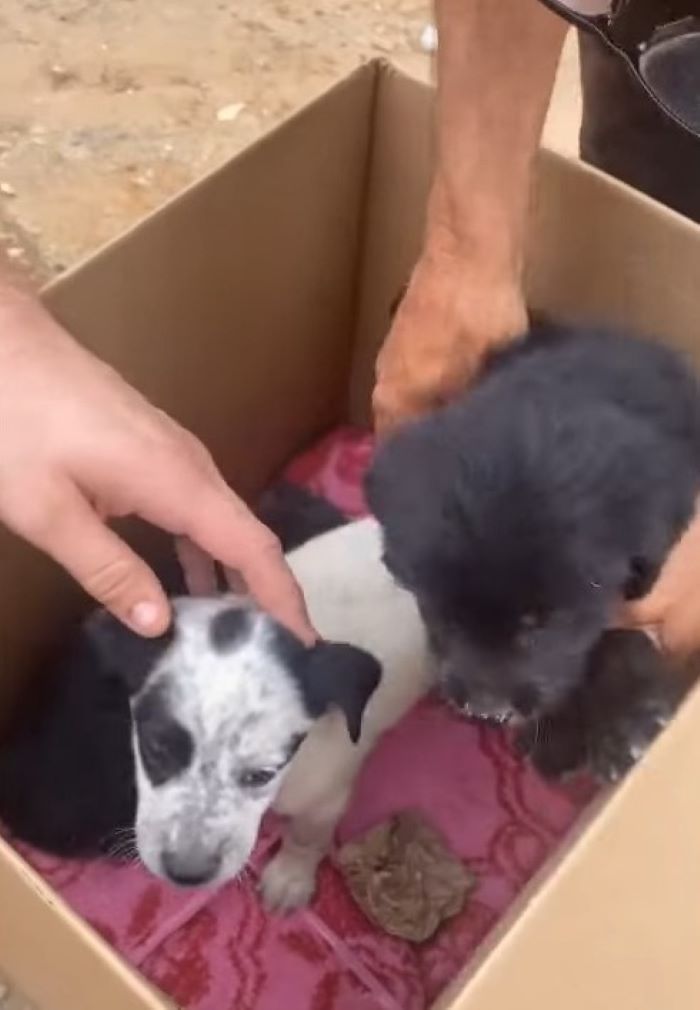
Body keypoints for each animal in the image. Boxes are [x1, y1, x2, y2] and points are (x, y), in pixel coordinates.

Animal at [0, 517, 432, 904]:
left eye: (261, 775)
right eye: (154, 751)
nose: (186, 874)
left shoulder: (324, 795)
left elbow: (306, 837)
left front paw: (290, 877)